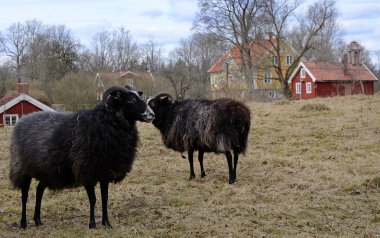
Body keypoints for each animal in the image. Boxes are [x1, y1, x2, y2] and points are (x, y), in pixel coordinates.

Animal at [8, 85, 154, 229]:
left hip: (45, 171)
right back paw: (23, 223)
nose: (151, 114)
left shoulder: (105, 173)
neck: (104, 124)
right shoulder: (87, 171)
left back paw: (38, 220)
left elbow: (105, 198)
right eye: (131, 101)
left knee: (39, 191)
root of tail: (22, 120)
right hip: (22, 169)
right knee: (24, 195)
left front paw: (106, 223)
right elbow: (93, 199)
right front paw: (92, 224)